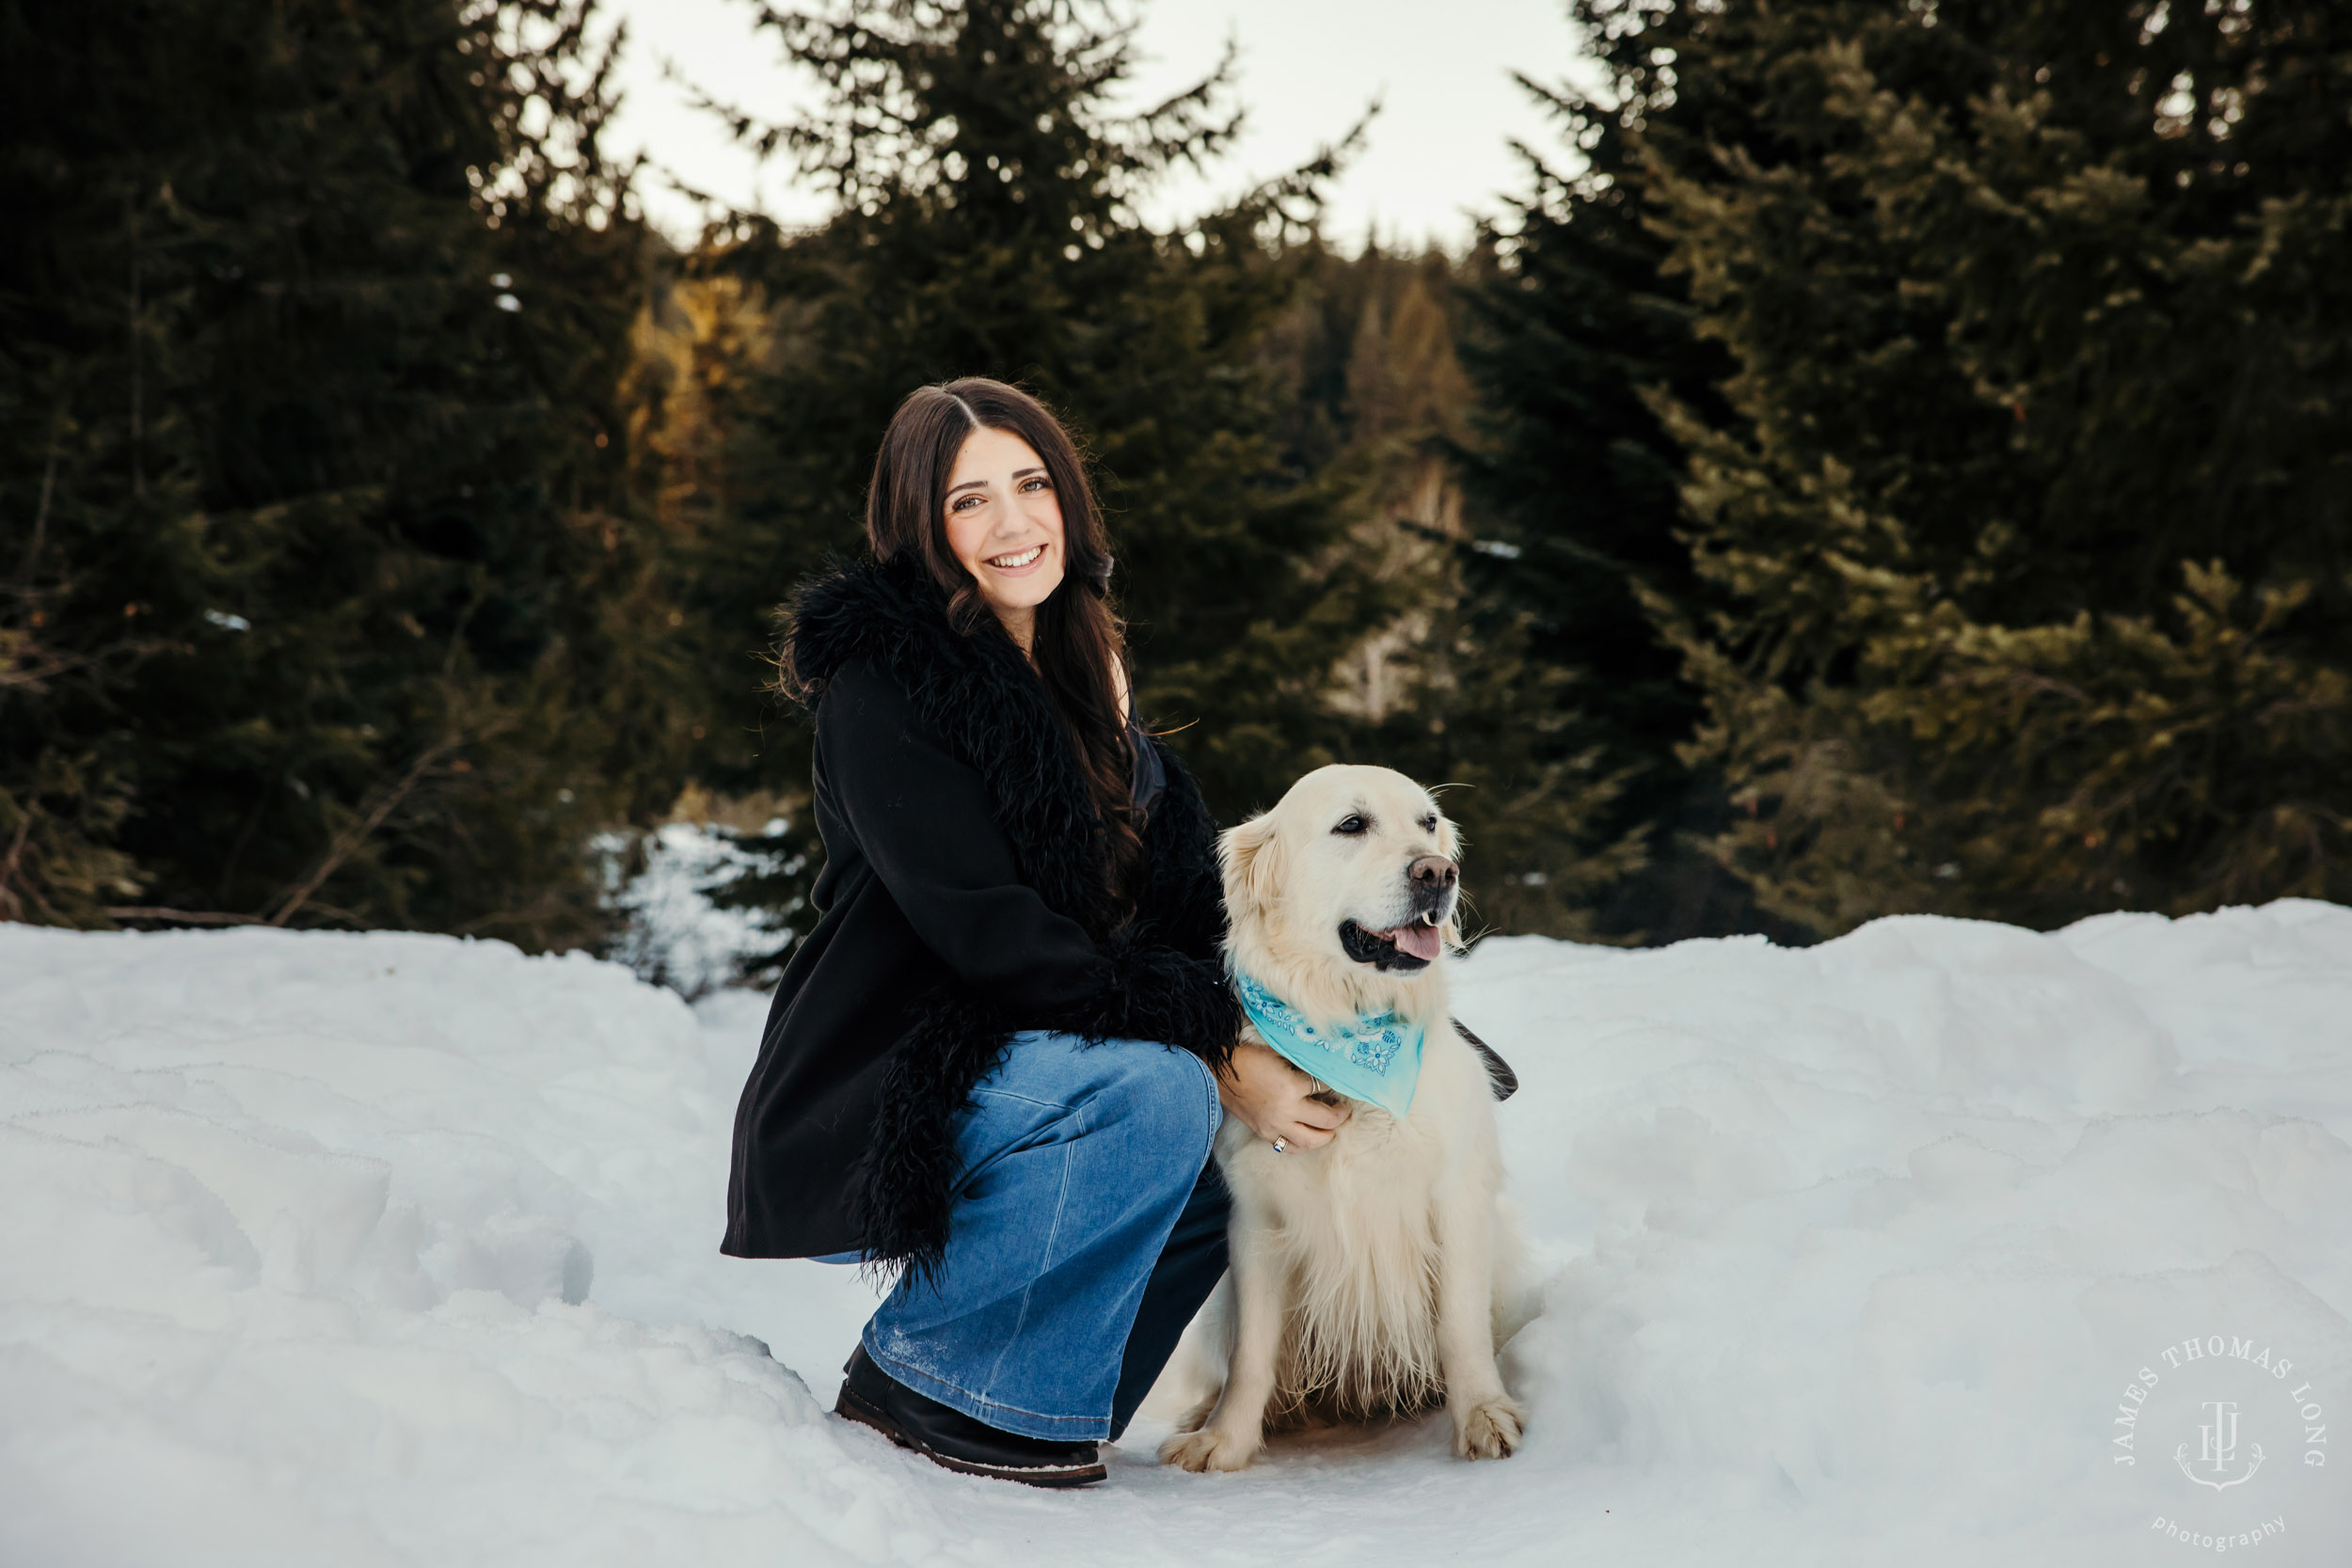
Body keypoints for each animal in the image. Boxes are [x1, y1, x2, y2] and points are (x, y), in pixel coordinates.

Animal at [1157, 761, 1524, 1476]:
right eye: (1352, 825)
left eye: (1428, 823)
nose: (1438, 872)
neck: (1348, 1034)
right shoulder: (1257, 1223)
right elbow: (1251, 1353)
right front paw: (1225, 1439)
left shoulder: (1457, 1202)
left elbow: (1460, 1326)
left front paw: (1482, 1413)